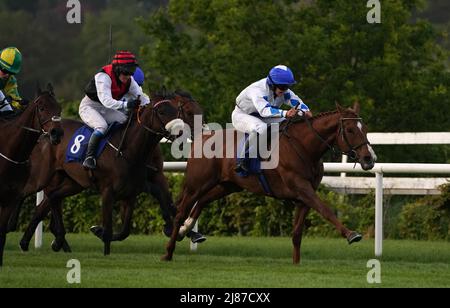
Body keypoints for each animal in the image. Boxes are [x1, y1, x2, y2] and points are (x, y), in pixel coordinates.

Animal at [162, 102, 376, 264]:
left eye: (365, 129)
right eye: (350, 130)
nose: (369, 158)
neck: (305, 147)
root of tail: (201, 137)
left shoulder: (304, 197)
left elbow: (297, 234)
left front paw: (296, 264)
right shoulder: (302, 188)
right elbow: (326, 210)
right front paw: (351, 234)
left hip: (227, 185)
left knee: (202, 201)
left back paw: (185, 230)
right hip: (197, 183)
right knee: (180, 211)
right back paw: (169, 251)